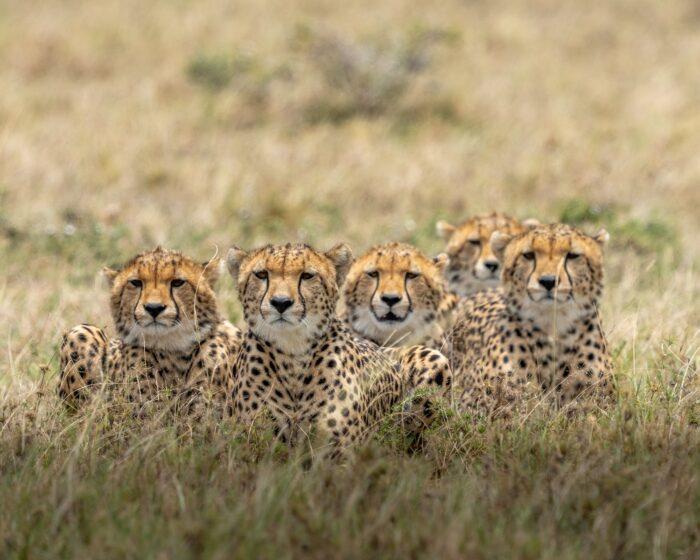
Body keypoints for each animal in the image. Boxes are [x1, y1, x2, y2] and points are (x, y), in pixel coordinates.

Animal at [227, 241, 452, 456]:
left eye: (307, 276)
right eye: (261, 274)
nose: (281, 303)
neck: (293, 355)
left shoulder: (339, 452)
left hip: (435, 361)